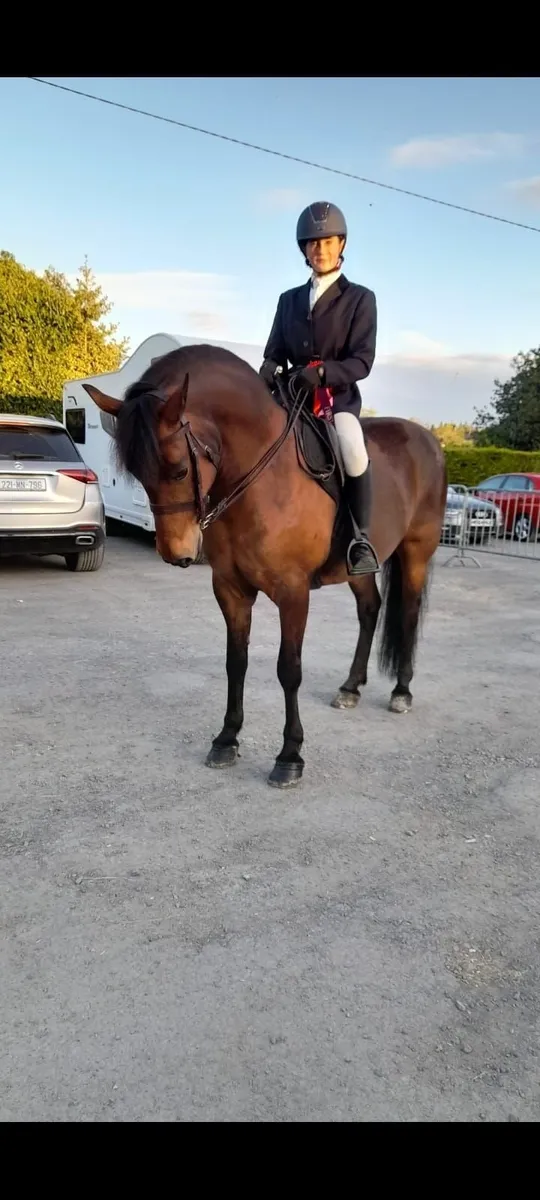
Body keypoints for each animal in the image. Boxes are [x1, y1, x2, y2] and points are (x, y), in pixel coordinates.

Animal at [84, 343, 447, 789]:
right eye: (136, 472)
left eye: (179, 469)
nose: (176, 552)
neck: (259, 476)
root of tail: (428, 439)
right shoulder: (230, 588)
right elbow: (234, 662)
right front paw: (226, 739)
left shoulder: (292, 593)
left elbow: (288, 669)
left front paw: (290, 756)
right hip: (357, 567)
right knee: (370, 609)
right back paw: (350, 687)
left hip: (415, 553)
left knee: (408, 615)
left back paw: (401, 692)